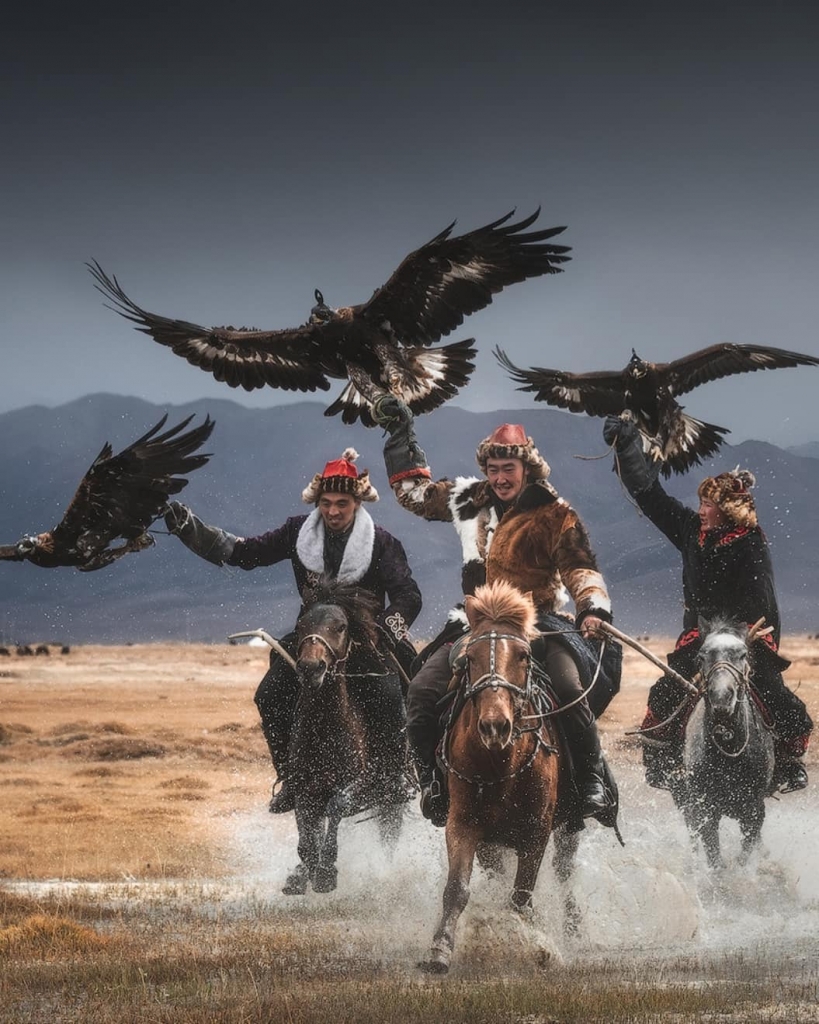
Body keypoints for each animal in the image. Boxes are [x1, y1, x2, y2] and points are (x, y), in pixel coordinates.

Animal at [282, 585, 409, 897]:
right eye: (301, 625)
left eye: (340, 627)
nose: (311, 667)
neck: (326, 727)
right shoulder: (304, 789)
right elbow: (307, 834)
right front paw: (304, 872)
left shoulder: (360, 784)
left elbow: (337, 805)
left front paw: (327, 871)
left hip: (391, 801)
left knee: (389, 835)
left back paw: (385, 875)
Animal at [421, 581, 577, 970]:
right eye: (469, 658)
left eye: (523, 656)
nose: (495, 726)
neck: (501, 766)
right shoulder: (464, 824)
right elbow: (457, 889)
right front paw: (440, 948)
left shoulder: (537, 831)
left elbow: (521, 896)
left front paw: (536, 948)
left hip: (568, 828)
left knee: (565, 872)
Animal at [671, 614, 773, 872]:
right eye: (701, 656)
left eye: (743, 654)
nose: (721, 700)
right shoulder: (706, 809)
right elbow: (716, 861)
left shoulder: (754, 811)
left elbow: (744, 854)